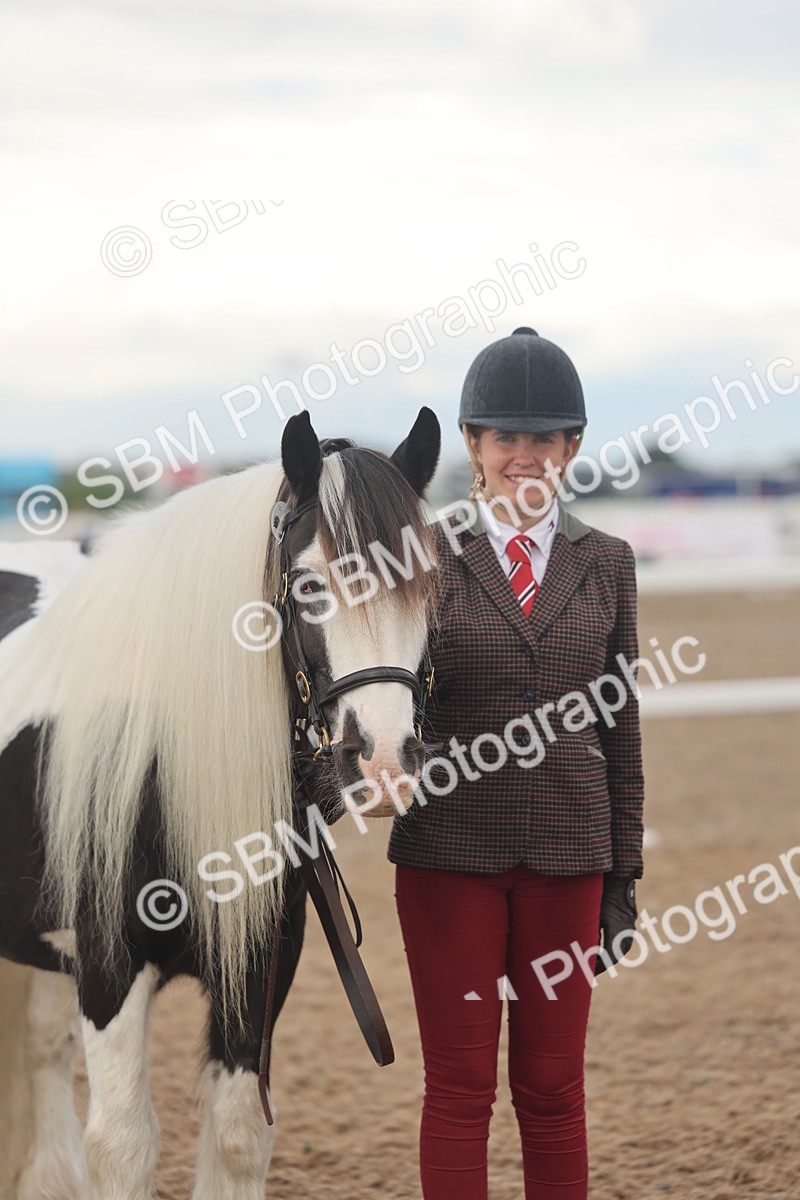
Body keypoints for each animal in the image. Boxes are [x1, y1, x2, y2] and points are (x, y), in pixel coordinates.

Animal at [0, 406, 440, 1200]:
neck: (160, 756)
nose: (387, 761)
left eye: (424, 587)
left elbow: (239, 1135)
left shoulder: (263, 963)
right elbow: (124, 1144)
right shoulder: (110, 969)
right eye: (308, 586)